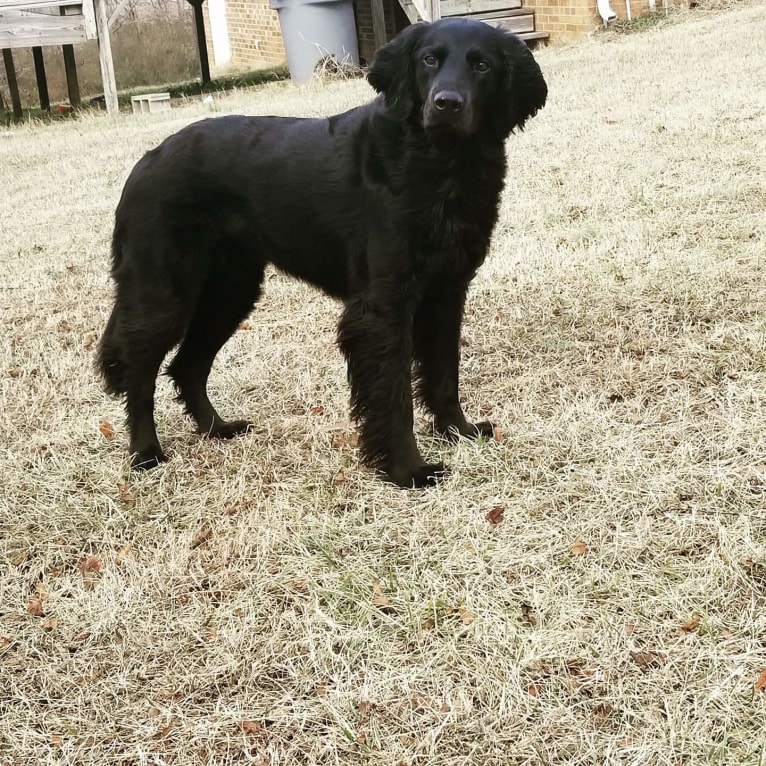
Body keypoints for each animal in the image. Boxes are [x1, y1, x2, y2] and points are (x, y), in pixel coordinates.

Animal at [99, 21, 548, 488]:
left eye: (482, 65)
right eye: (429, 59)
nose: (446, 103)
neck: (440, 165)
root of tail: (145, 162)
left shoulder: (447, 293)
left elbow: (444, 373)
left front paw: (458, 431)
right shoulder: (381, 309)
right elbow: (394, 396)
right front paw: (407, 469)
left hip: (229, 293)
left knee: (187, 366)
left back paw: (216, 429)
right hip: (163, 296)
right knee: (139, 372)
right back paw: (145, 452)